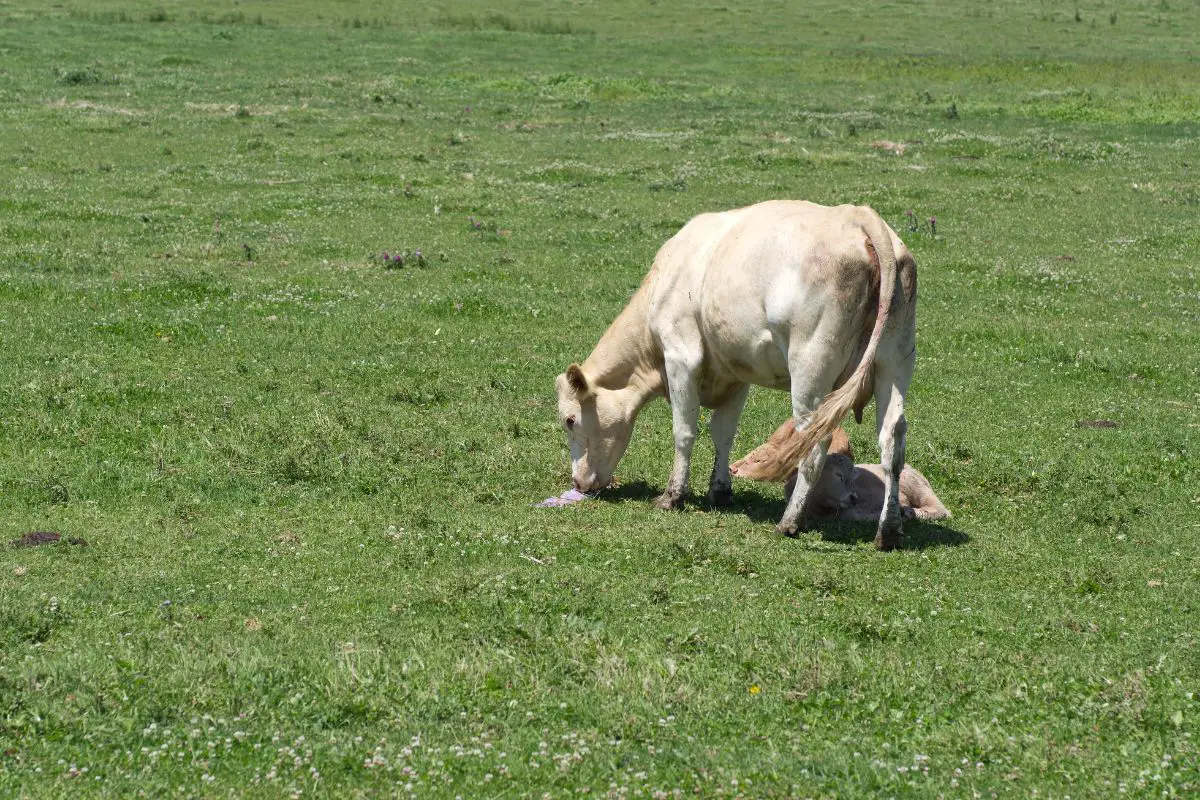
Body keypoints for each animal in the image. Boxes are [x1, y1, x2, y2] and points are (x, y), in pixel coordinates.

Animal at [554, 200, 918, 549]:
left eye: (570, 420)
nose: (578, 483)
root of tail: (857, 217)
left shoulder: (681, 354)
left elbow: (684, 431)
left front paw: (672, 496)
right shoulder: (736, 371)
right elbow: (723, 432)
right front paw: (720, 491)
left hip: (811, 366)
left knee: (814, 447)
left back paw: (789, 522)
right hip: (894, 361)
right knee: (892, 442)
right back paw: (889, 531)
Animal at [731, 422, 950, 522]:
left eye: (848, 478)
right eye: (838, 476)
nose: (854, 496)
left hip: (918, 488)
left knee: (941, 510)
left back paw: (914, 512)